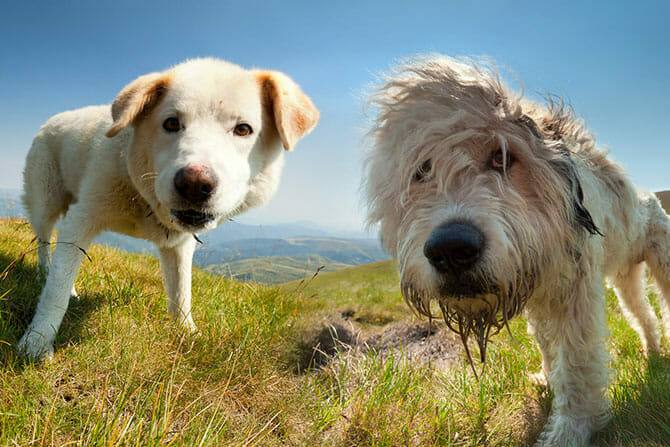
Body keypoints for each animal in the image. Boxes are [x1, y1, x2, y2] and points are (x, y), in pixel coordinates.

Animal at [17, 57, 318, 362]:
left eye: (243, 129)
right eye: (171, 123)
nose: (195, 185)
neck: (143, 198)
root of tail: (52, 119)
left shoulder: (180, 246)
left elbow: (182, 292)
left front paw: (188, 333)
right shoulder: (82, 220)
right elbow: (56, 289)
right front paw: (36, 342)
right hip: (45, 201)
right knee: (45, 243)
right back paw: (45, 273)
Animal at [368, 57, 670, 447]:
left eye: (502, 157)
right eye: (422, 169)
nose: (451, 249)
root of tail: (650, 199)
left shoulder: (576, 296)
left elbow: (577, 363)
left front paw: (571, 429)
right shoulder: (540, 298)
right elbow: (548, 347)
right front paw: (548, 380)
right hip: (625, 278)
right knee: (642, 315)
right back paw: (652, 349)